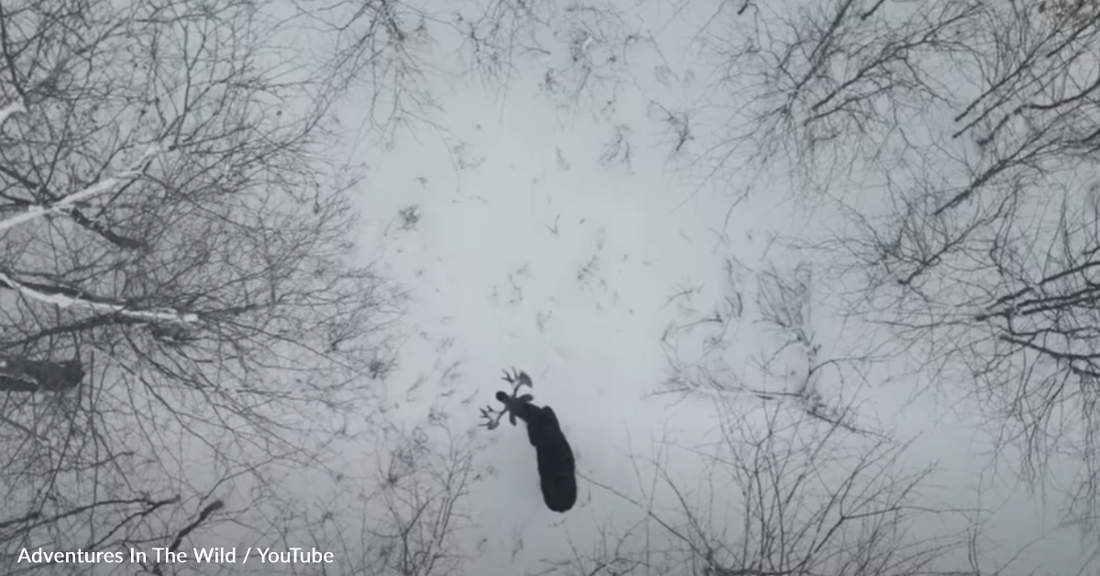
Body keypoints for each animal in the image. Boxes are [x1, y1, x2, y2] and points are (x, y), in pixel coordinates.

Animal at [480, 368, 577, 513]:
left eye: (512, 407)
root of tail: (563, 507)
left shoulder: (532, 437)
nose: (499, 394)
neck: (536, 415)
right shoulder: (549, 410)